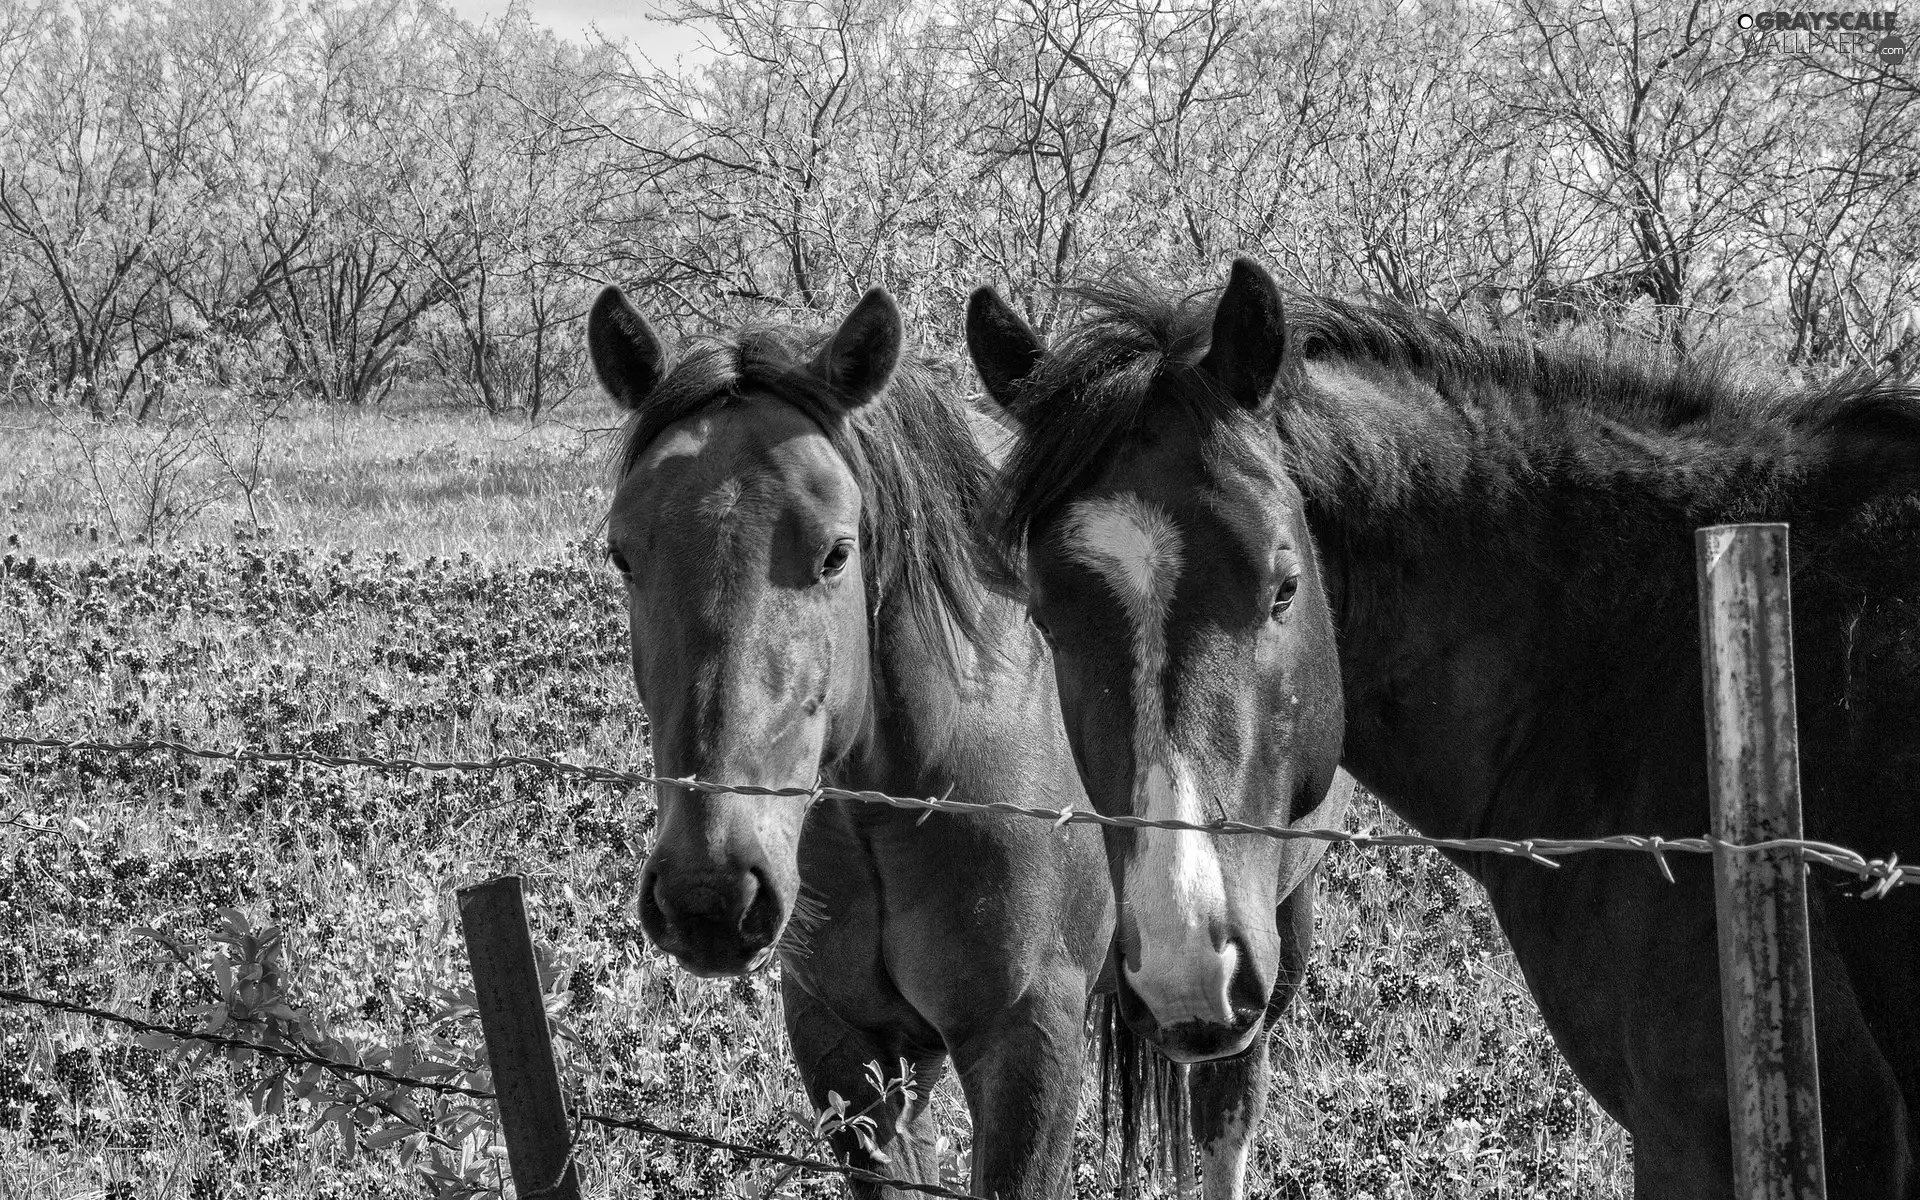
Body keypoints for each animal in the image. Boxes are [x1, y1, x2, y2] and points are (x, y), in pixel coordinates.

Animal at [583, 286, 1336, 1190]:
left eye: (836, 552)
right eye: (623, 555)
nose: (709, 895)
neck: (908, 791)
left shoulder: (1026, 1043)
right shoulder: (841, 1038)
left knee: (1227, 1101)